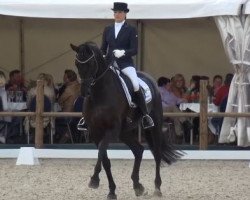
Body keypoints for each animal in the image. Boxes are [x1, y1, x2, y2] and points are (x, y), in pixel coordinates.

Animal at [70, 41, 182, 199]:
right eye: (76, 63)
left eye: (91, 63)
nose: (84, 91)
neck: (100, 94)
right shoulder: (95, 131)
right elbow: (105, 160)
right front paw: (111, 191)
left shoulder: (112, 130)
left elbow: (102, 151)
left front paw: (94, 180)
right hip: (125, 132)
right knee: (138, 150)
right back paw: (138, 186)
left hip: (154, 125)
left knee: (157, 153)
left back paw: (157, 188)